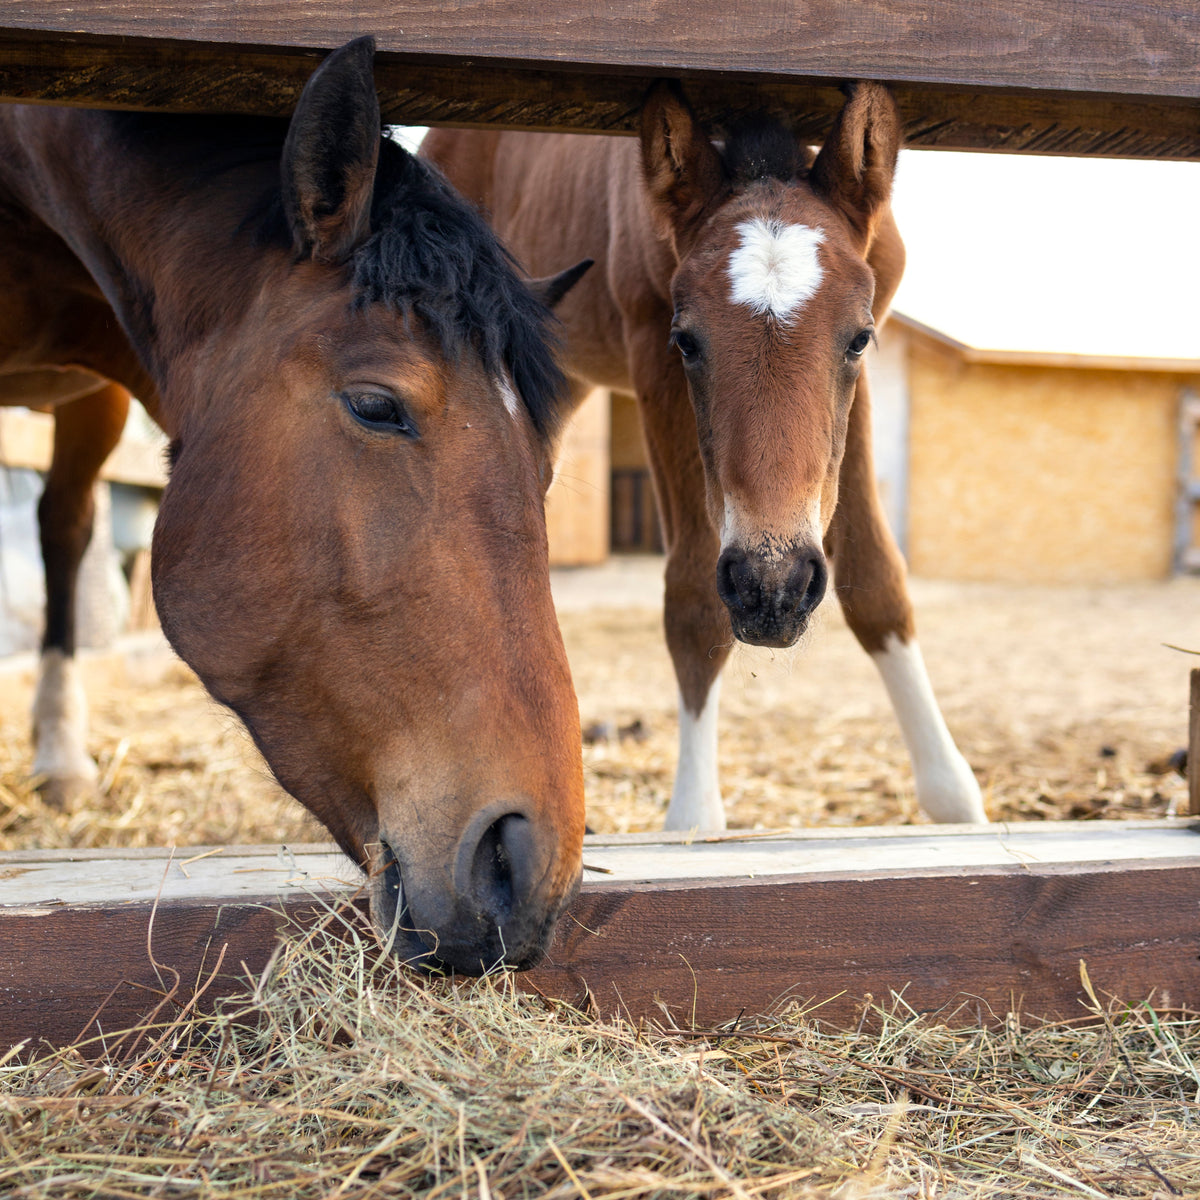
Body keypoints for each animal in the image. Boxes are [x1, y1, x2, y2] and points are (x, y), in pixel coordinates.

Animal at [423, 82, 987, 830]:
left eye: (859, 339)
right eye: (687, 341)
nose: (773, 590)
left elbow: (876, 577)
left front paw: (954, 800)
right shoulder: (651, 357)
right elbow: (692, 598)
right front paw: (693, 819)